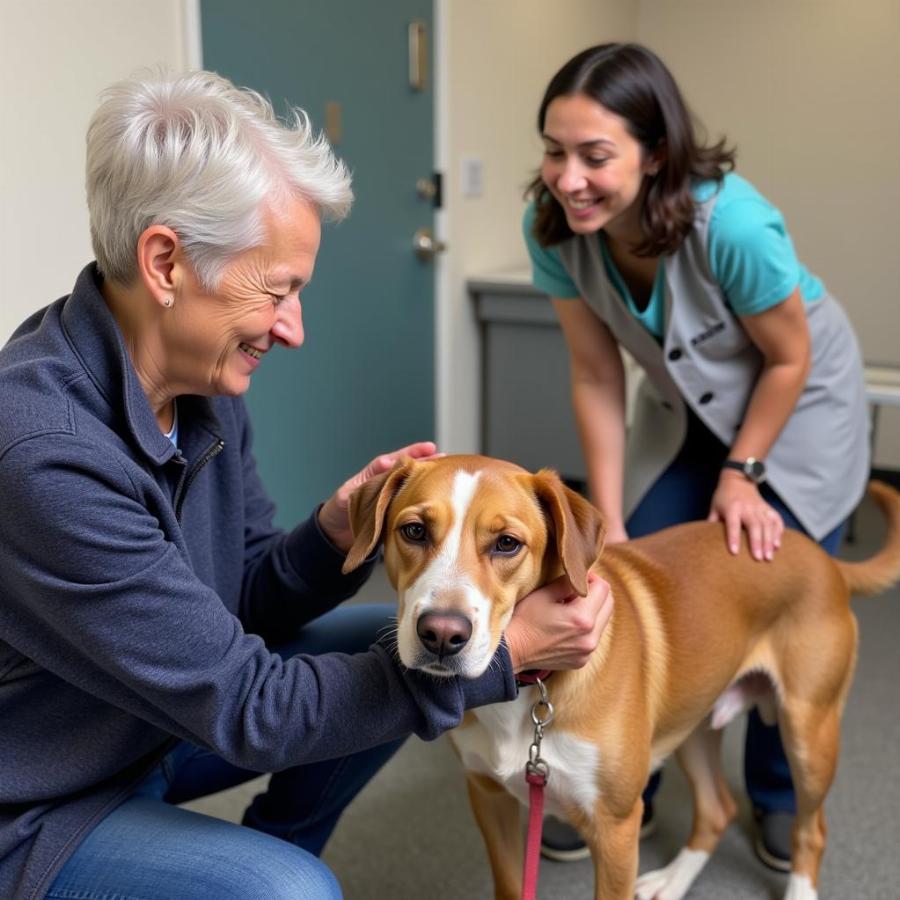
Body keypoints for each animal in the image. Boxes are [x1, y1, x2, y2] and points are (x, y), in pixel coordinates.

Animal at [342, 458, 896, 900]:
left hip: (807, 732)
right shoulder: (489, 796)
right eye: (414, 532)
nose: (441, 634)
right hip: (693, 723)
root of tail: (824, 560)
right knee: (716, 810)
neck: (529, 689)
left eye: (507, 544)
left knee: (811, 830)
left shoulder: (614, 829)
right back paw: (671, 881)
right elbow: (510, 885)